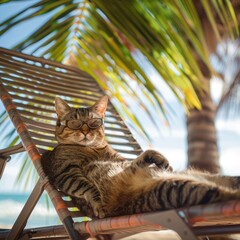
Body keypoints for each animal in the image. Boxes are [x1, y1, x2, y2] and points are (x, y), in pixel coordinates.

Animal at [40, 96, 239, 219]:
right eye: (75, 122)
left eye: (94, 122)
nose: (86, 131)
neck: (93, 149)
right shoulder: (65, 174)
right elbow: (89, 188)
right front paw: (98, 204)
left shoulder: (121, 161)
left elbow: (141, 157)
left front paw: (160, 159)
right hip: (176, 187)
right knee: (222, 193)